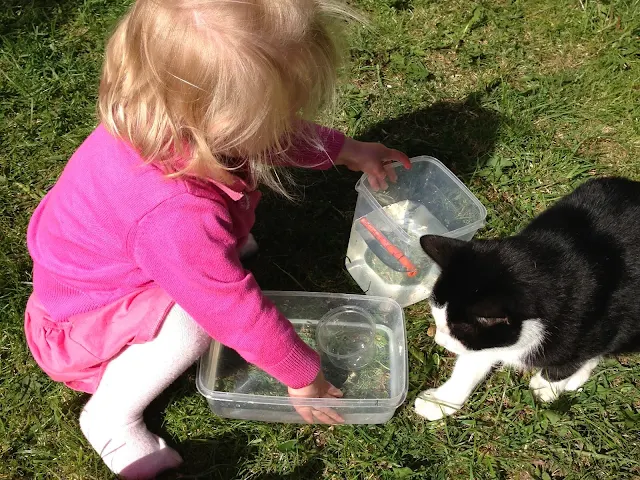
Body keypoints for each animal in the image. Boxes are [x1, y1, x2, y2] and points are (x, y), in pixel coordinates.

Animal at [416, 176, 640, 420]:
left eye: (457, 330)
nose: (439, 340)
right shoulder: (489, 341)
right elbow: (471, 364)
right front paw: (441, 401)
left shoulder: (600, 321)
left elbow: (572, 359)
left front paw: (546, 386)